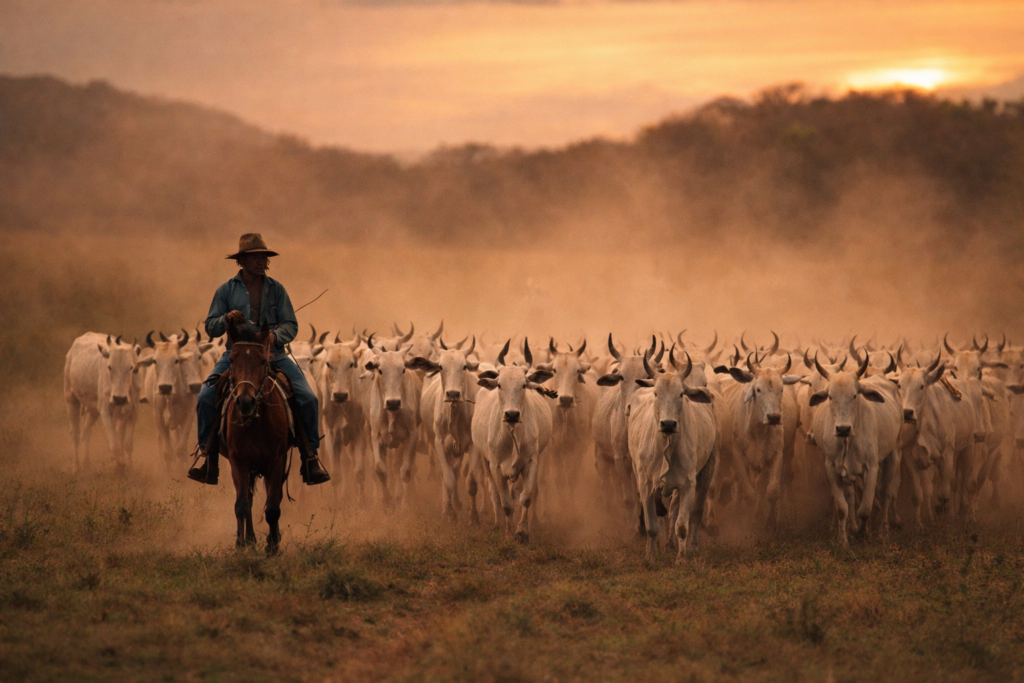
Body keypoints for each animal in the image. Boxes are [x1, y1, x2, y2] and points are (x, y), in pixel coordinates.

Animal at [223, 320, 292, 555]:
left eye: (262, 360)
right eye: (232, 359)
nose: (245, 402)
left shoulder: (276, 462)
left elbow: (272, 508)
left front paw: (272, 546)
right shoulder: (238, 462)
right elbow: (241, 505)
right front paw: (240, 544)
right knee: (249, 500)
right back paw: (250, 540)